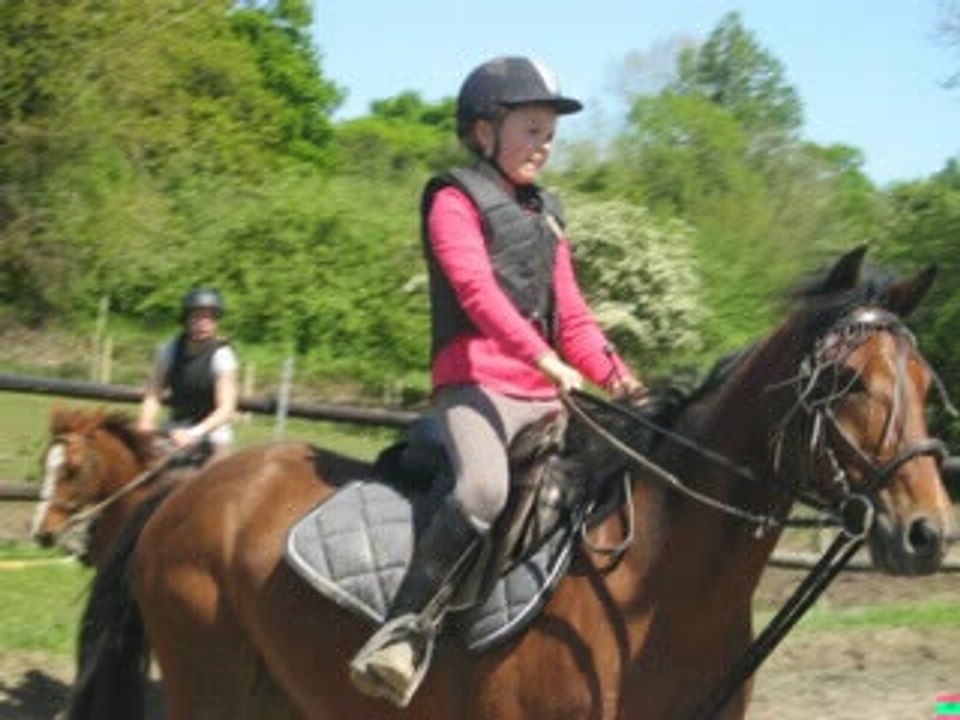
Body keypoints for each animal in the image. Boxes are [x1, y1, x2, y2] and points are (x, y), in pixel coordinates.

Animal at [68, 247, 957, 720]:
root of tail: (188, 492)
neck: (654, 591)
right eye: (843, 381)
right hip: (209, 681)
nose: (929, 533)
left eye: (923, 381)